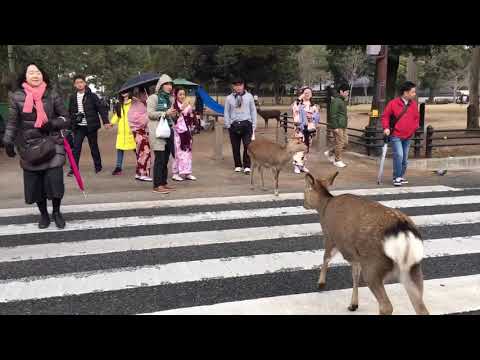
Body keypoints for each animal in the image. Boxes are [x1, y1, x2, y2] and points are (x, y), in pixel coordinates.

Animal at [306, 172, 430, 316]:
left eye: (306, 189)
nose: (304, 204)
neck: (324, 206)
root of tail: (403, 230)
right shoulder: (355, 255)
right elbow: (355, 274)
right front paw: (353, 305)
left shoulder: (330, 237)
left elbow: (326, 258)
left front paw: (320, 283)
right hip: (414, 268)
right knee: (421, 308)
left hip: (374, 266)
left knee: (386, 306)